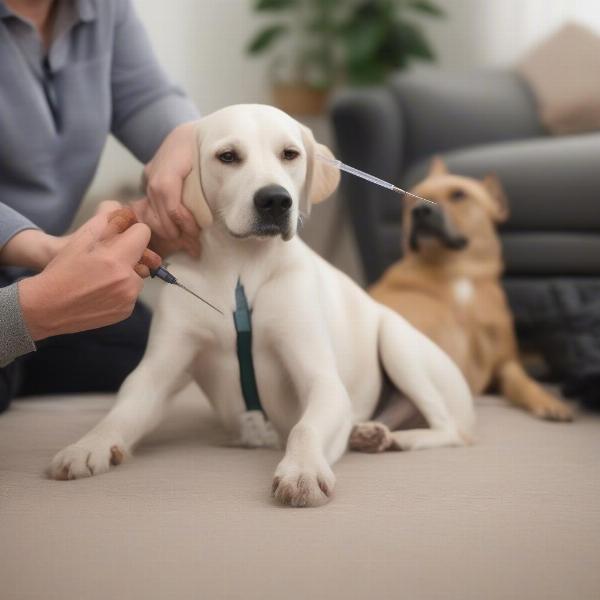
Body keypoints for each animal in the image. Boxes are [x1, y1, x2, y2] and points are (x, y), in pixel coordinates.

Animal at [50, 106, 474, 506]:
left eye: (290, 154)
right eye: (227, 156)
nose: (275, 200)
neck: (241, 271)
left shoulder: (322, 379)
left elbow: (305, 427)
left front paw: (302, 471)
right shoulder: (156, 371)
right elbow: (120, 412)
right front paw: (87, 446)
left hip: (397, 341)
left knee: (450, 430)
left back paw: (400, 439)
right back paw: (373, 432)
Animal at [352, 157, 572, 452]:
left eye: (459, 195)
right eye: (410, 199)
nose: (420, 209)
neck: (457, 273)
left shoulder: (505, 363)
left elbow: (524, 383)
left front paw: (548, 401)